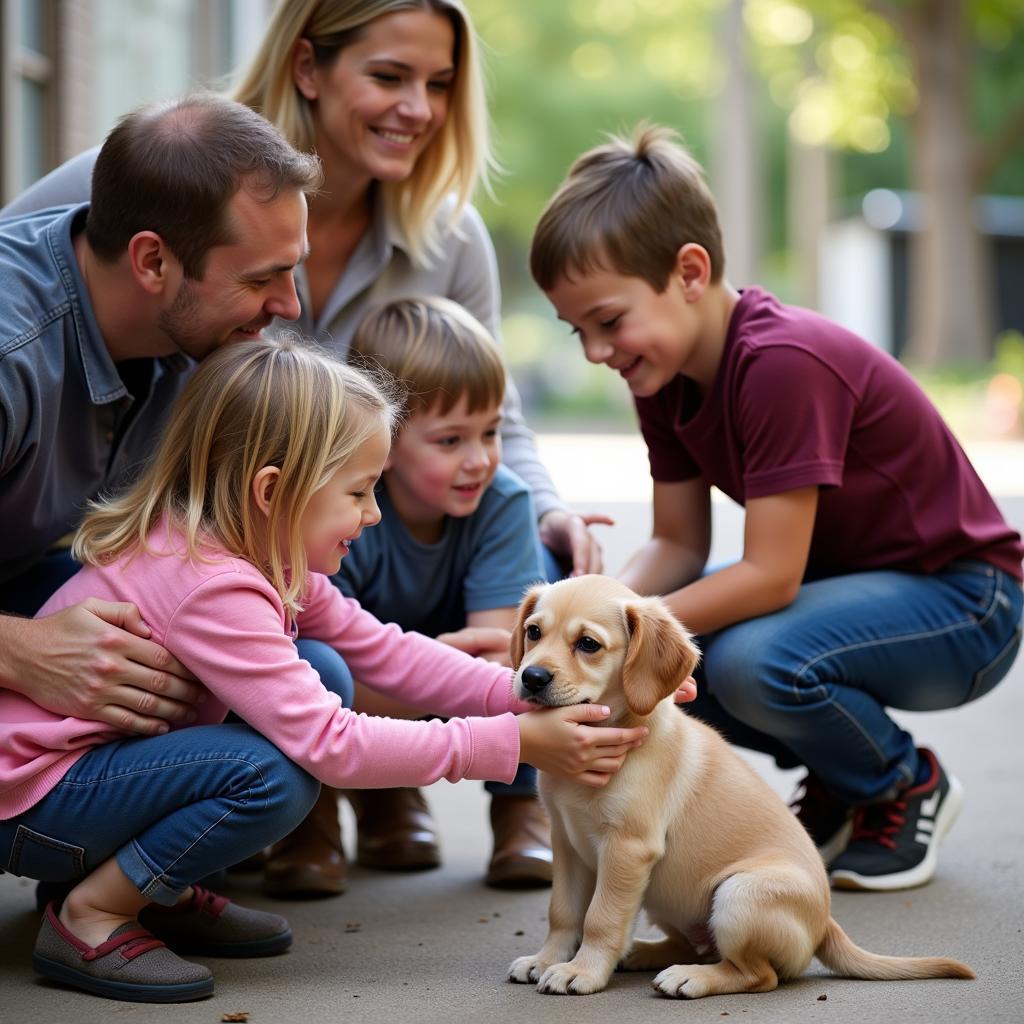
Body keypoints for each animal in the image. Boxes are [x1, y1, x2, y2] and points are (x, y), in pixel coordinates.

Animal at [507, 577, 970, 999]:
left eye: (588, 644)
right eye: (534, 632)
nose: (531, 677)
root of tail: (823, 923)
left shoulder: (627, 848)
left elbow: (600, 917)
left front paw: (581, 971)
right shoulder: (566, 843)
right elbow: (563, 912)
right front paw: (546, 960)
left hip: (739, 894)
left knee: (757, 975)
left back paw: (689, 978)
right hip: (668, 897)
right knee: (692, 945)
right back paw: (644, 952)